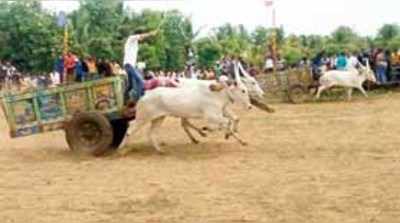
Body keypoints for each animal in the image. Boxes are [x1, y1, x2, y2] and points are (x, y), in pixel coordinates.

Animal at [123, 75, 252, 153]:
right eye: (243, 90)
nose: (250, 106)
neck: (217, 95)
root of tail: (144, 94)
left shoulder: (219, 115)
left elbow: (230, 122)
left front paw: (240, 140)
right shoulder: (211, 116)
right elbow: (226, 123)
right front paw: (210, 131)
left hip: (159, 118)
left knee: (151, 133)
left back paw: (160, 150)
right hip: (143, 118)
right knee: (130, 128)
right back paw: (122, 148)